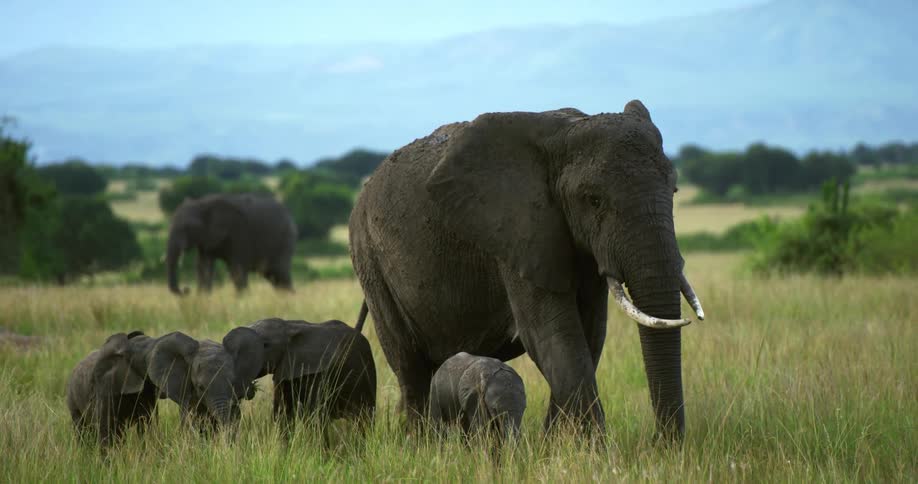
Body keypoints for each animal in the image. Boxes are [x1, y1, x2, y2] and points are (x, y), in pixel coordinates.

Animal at [166, 193, 297, 295]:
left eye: (188, 227)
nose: (186, 289)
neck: (203, 203)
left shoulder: (238, 232)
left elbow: (237, 269)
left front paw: (243, 300)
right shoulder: (206, 240)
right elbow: (204, 267)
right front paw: (202, 299)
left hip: (284, 240)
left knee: (280, 274)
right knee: (274, 277)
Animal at [245, 317, 376, 442]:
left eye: (264, 345)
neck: (288, 328)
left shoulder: (319, 372)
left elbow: (315, 416)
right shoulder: (283, 370)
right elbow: (283, 413)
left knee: (363, 420)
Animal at [348, 100, 705, 441]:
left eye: (674, 191)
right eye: (593, 200)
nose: (660, 444)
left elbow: (589, 335)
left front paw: (556, 447)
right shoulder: (515, 232)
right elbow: (555, 338)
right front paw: (596, 451)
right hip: (370, 259)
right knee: (409, 366)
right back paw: (420, 444)